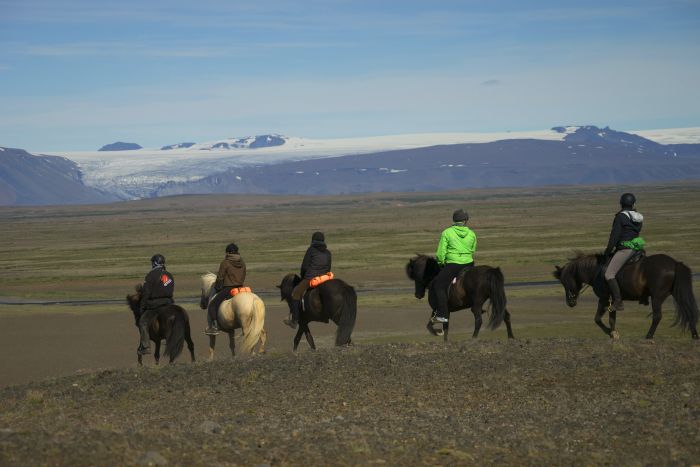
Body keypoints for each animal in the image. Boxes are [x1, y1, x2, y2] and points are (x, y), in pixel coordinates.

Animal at [552, 252, 700, 340]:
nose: (570, 302)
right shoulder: (613, 300)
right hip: (676, 294)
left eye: (565, 281)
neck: (595, 270)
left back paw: (648, 336)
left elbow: (597, 319)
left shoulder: (604, 299)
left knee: (657, 316)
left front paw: (610, 332)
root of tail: (675, 263)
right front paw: (613, 333)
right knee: (688, 310)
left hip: (657, 297)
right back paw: (694, 335)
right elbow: (611, 319)